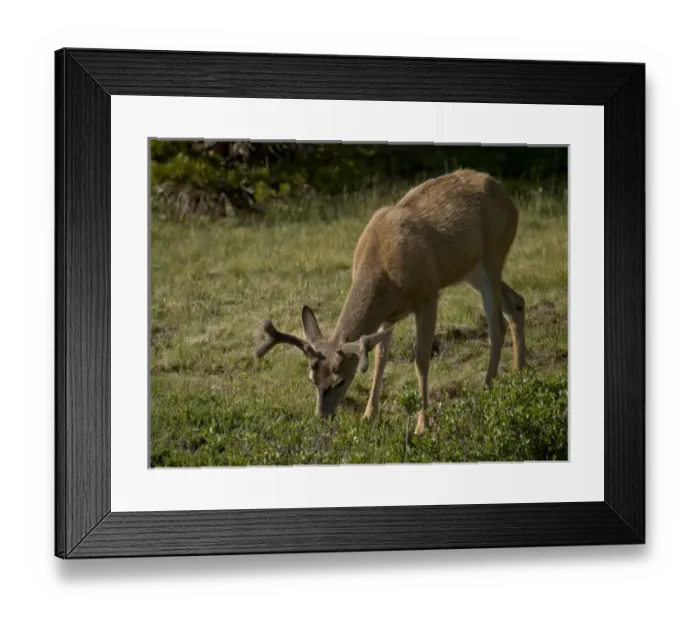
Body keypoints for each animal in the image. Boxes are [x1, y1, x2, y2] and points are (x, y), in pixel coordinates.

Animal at [253, 168, 526, 437]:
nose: (322, 416)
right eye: (312, 380)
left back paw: (488, 388)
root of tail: (507, 196)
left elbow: (421, 360)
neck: (382, 265)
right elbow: (379, 360)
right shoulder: (386, 316)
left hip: (493, 255)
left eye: (340, 381)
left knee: (496, 324)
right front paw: (368, 416)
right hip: (470, 271)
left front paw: (422, 425)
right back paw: (519, 375)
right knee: (516, 302)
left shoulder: (428, 296)